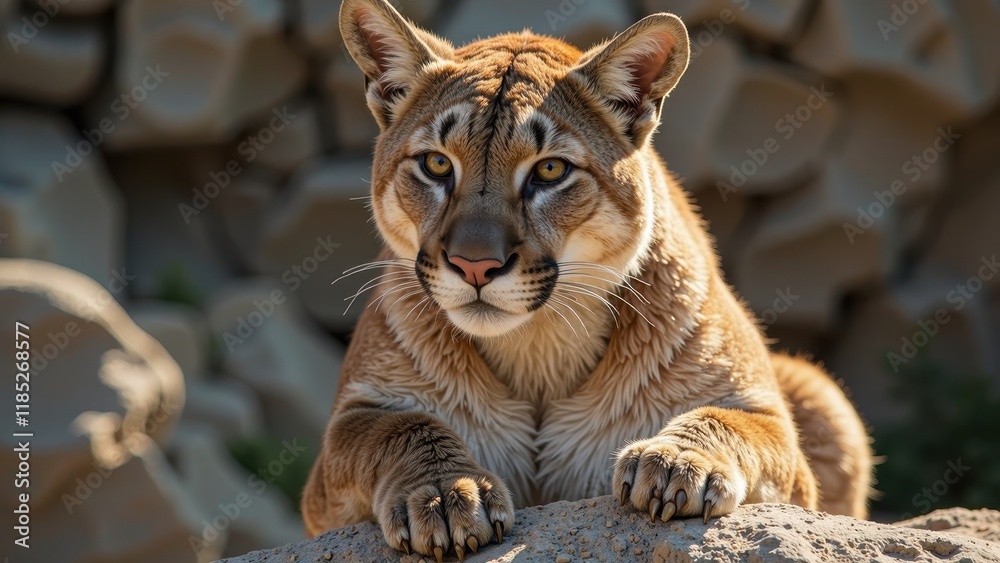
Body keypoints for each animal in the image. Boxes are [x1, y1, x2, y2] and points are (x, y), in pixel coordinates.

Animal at [301, 1, 873, 560]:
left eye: (550, 171)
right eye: (437, 164)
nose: (474, 265)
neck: (536, 344)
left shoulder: (764, 413)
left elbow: (728, 421)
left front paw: (676, 461)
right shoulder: (344, 441)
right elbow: (398, 427)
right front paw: (446, 493)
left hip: (822, 391)